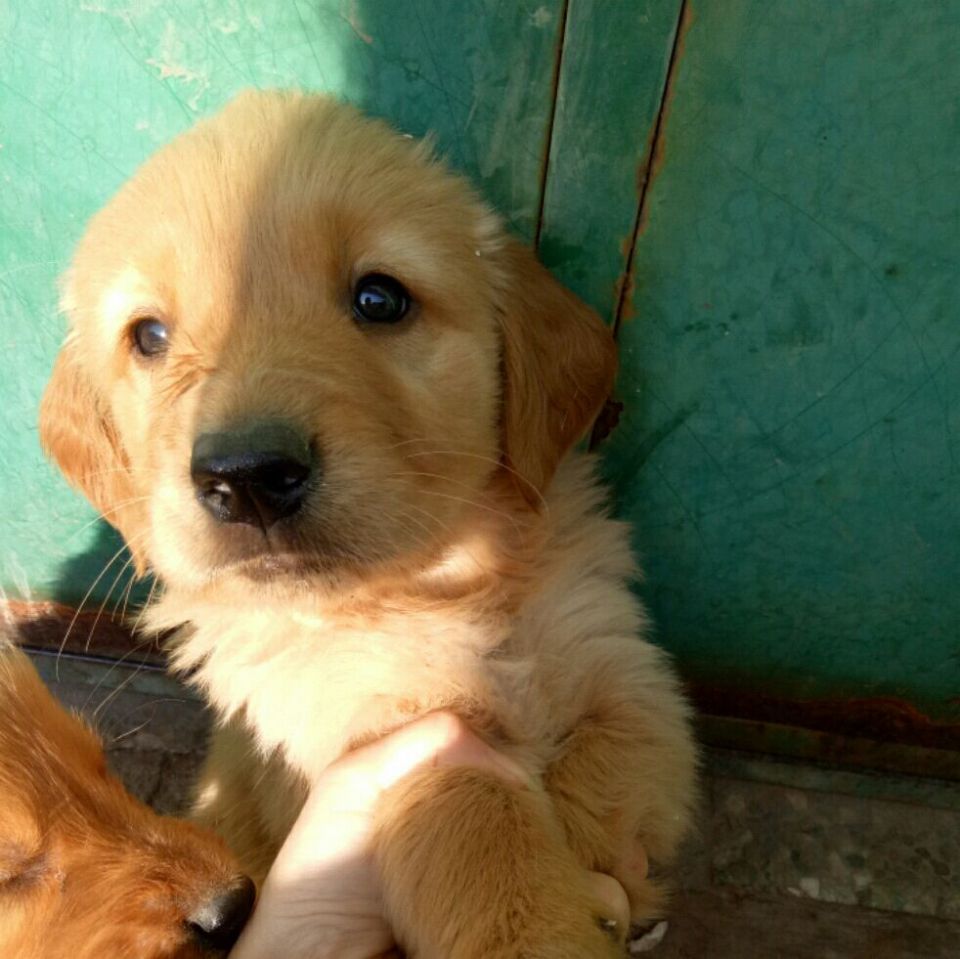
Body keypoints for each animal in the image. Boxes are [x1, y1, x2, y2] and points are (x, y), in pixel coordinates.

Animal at [39, 90, 697, 958]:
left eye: (380, 299)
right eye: (149, 336)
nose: (247, 477)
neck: (433, 590)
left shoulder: (619, 667)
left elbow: (615, 765)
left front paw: (605, 891)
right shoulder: (365, 733)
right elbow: (475, 812)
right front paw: (546, 928)